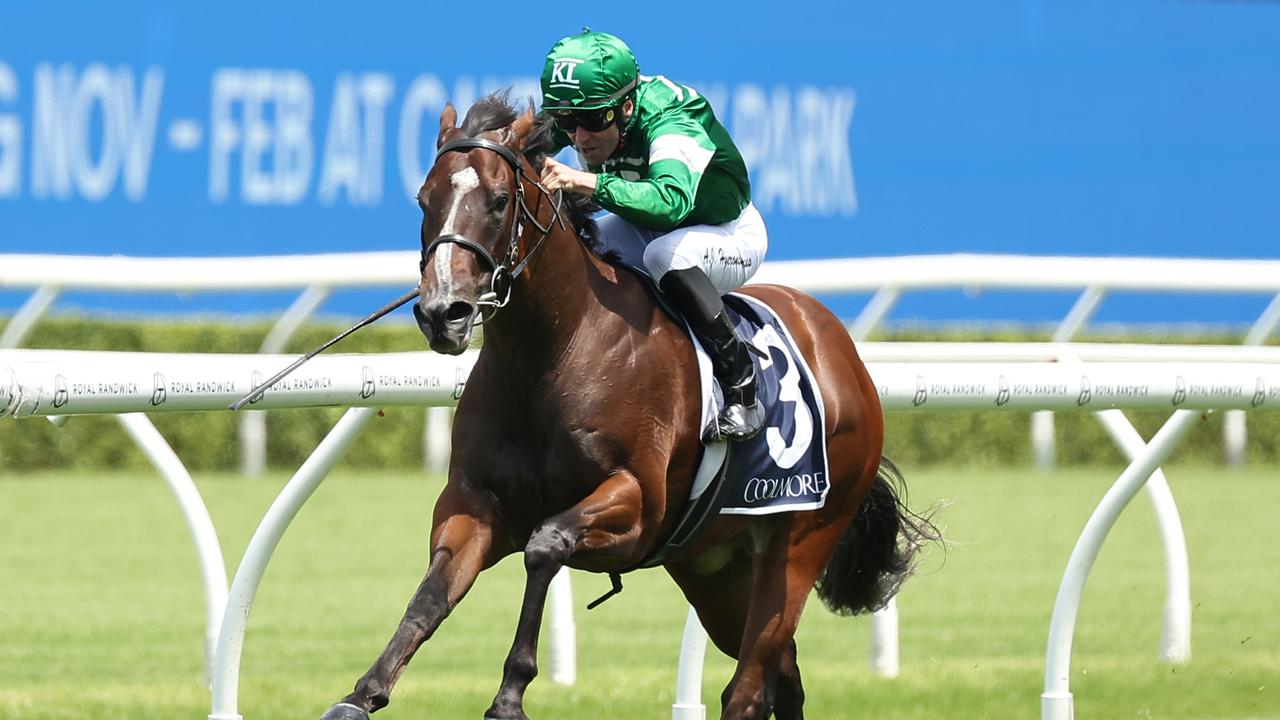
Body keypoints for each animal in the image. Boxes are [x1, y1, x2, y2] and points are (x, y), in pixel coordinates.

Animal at [320, 92, 936, 712]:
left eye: (498, 201)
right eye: (425, 199)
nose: (442, 312)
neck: (554, 351)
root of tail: (845, 354)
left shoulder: (638, 504)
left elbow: (545, 546)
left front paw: (510, 693)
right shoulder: (475, 502)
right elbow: (431, 594)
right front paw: (362, 693)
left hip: (801, 544)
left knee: (748, 686)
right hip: (714, 567)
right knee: (780, 680)